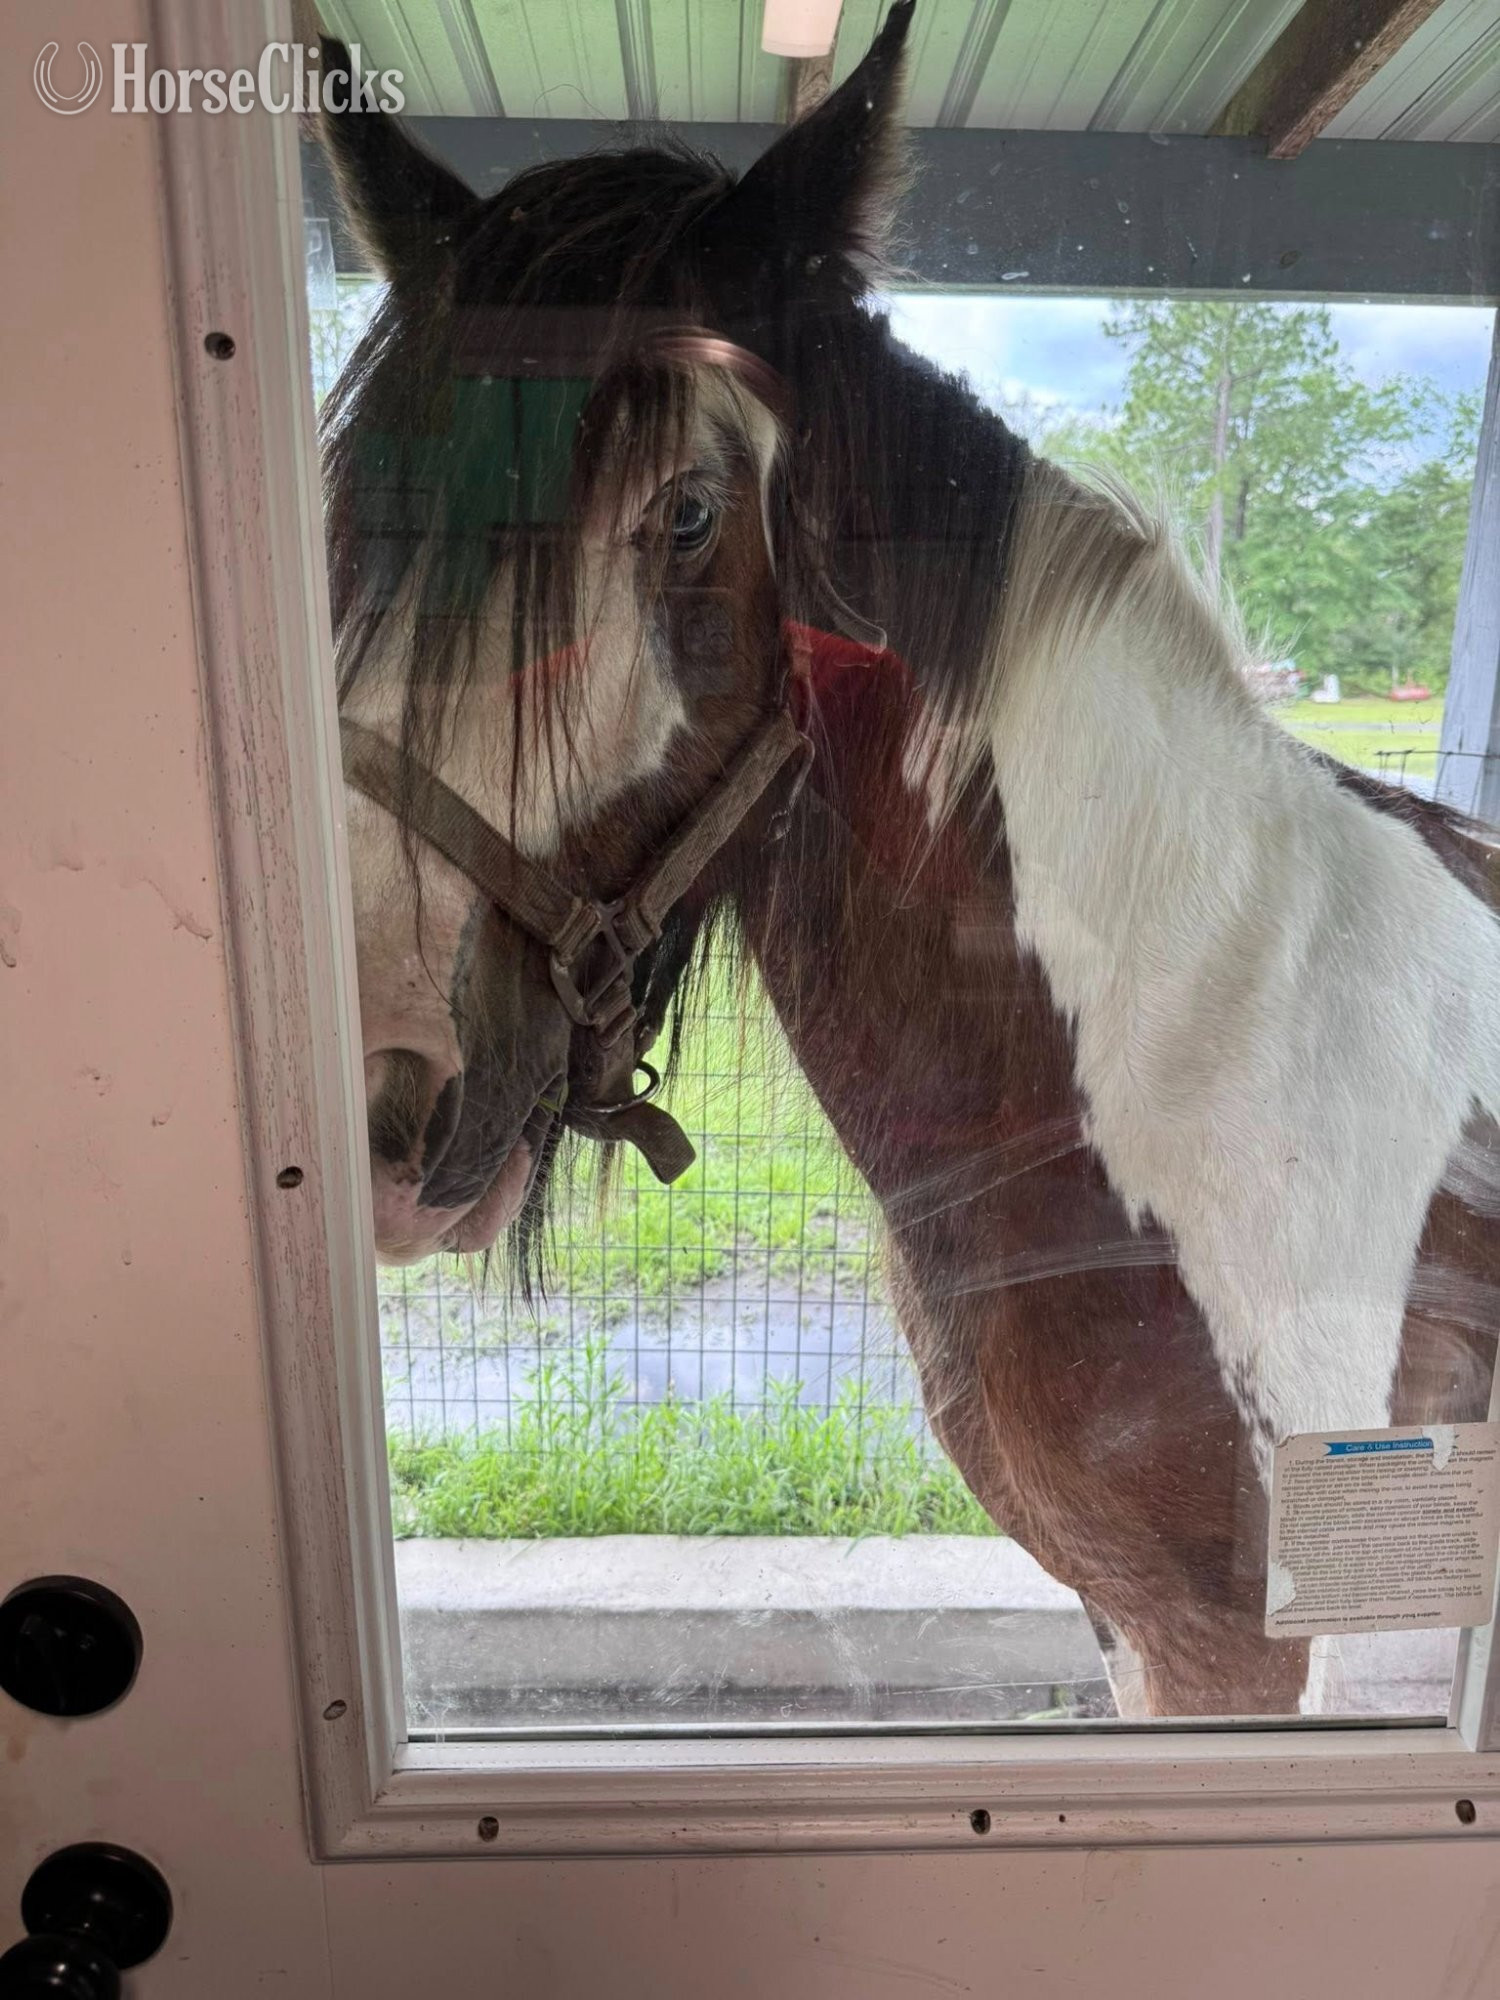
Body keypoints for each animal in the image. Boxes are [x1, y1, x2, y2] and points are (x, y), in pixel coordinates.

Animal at [319, 3, 1500, 1718]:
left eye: (687, 514)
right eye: (356, 527)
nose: (379, 1102)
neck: (1212, 1046)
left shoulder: (1236, 1646)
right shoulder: (1134, 1620)